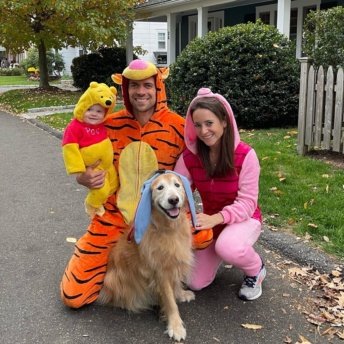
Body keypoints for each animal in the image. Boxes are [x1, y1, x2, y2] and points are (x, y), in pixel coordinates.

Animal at [100, 171, 196, 342]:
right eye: (160, 188)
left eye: (177, 185)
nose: (174, 200)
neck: (168, 229)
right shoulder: (160, 272)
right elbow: (170, 301)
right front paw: (176, 326)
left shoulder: (175, 262)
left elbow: (176, 283)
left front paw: (181, 294)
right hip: (112, 279)